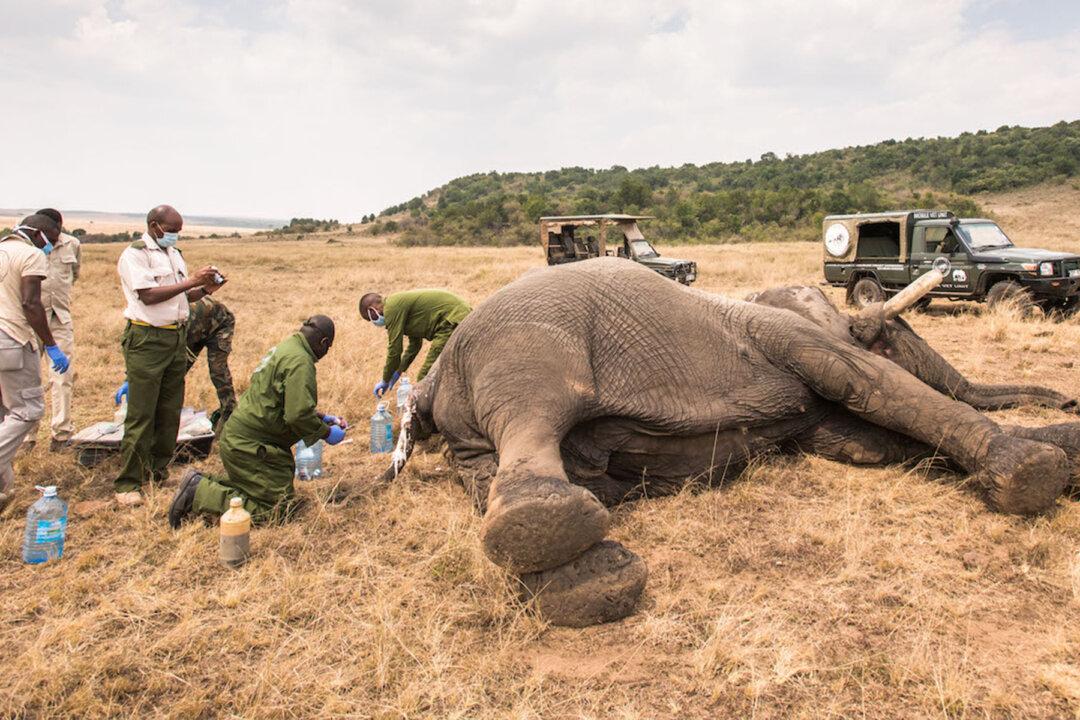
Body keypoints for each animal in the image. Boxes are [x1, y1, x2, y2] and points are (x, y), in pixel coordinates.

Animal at [385, 258, 1080, 628]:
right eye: (891, 335)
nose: (1070, 402)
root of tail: (437, 378)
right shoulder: (786, 335)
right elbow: (867, 383)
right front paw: (1036, 471)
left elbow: (868, 443)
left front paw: (1067, 454)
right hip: (529, 339)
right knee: (533, 415)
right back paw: (557, 534)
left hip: (469, 436)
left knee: (490, 475)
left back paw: (592, 583)